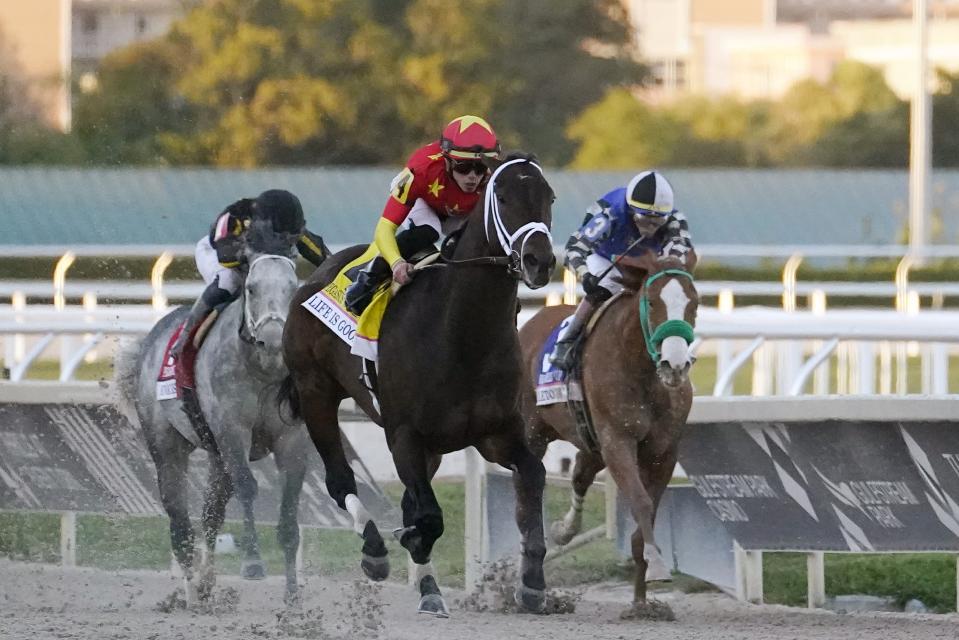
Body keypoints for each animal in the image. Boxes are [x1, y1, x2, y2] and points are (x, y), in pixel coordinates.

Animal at [280, 154, 556, 616]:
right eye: (501, 197)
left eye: (548, 196)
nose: (540, 261)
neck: (462, 334)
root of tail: (320, 271)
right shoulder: (404, 435)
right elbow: (427, 516)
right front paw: (404, 542)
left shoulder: (496, 434)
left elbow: (532, 474)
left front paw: (533, 581)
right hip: (314, 390)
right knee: (340, 480)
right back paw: (375, 548)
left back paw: (426, 584)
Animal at [516, 258, 696, 616]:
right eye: (651, 302)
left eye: (694, 303)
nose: (675, 365)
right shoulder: (617, 441)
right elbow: (640, 501)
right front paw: (657, 565)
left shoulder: (663, 451)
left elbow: (647, 512)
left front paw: (641, 603)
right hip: (534, 431)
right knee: (526, 491)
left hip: (590, 441)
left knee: (580, 474)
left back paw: (564, 531)